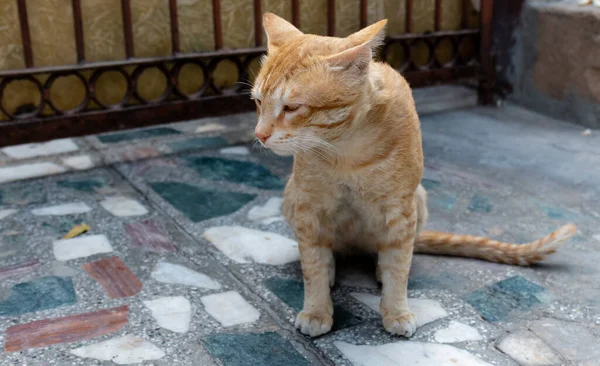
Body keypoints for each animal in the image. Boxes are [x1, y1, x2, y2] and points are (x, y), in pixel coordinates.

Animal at [250, 12, 576, 338]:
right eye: (258, 102)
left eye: (291, 107)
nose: (259, 135)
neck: (345, 151)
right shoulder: (309, 207)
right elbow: (313, 265)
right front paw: (317, 310)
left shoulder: (400, 211)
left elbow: (398, 266)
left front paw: (396, 311)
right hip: (292, 196)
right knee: (329, 252)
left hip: (418, 201)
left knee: (388, 254)